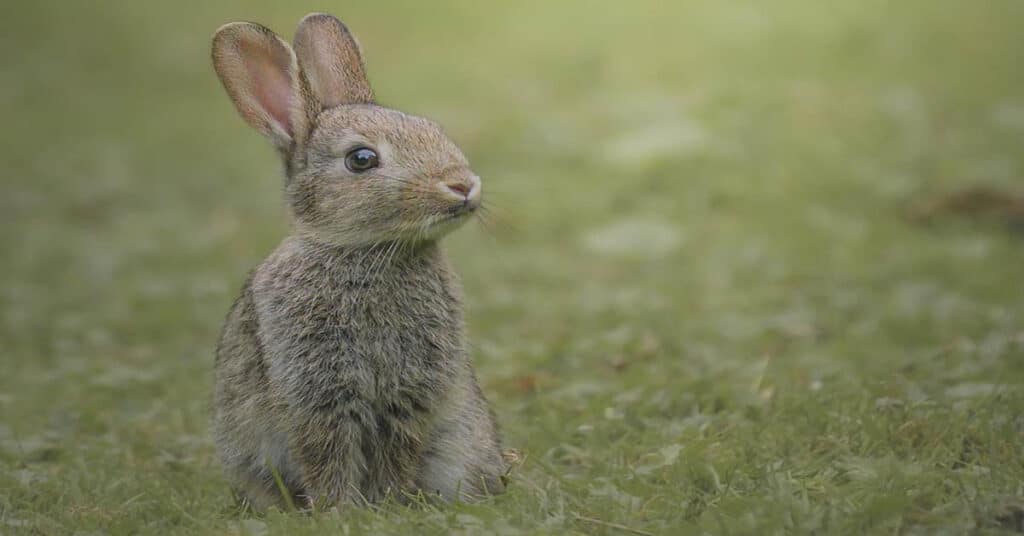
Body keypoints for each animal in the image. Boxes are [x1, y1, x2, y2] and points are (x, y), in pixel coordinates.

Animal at [210, 11, 507, 508]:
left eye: (434, 130)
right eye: (362, 159)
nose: (463, 185)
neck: (366, 252)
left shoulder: (409, 394)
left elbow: (396, 452)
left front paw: (387, 505)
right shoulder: (315, 394)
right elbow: (327, 456)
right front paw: (341, 510)